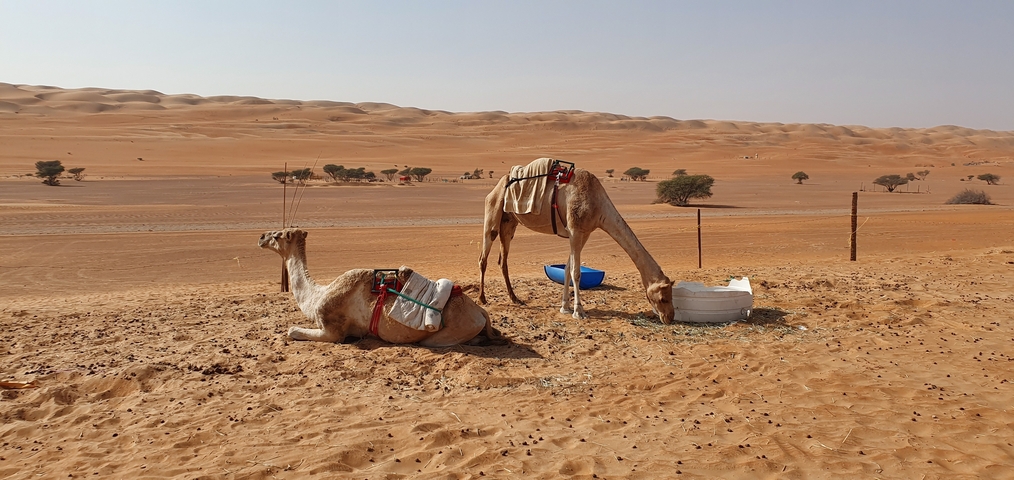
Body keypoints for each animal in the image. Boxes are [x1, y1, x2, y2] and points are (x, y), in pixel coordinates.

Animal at [259, 228, 498, 346]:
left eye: (278, 235)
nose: (261, 236)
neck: (318, 295)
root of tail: (480, 311)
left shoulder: (332, 330)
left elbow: (292, 330)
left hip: (444, 334)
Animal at [479, 159, 676, 323]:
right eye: (664, 297)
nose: (670, 317)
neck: (598, 206)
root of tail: (497, 186)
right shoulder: (575, 231)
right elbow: (576, 273)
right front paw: (578, 311)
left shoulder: (582, 233)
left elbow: (567, 269)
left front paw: (565, 307)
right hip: (493, 210)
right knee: (484, 255)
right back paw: (483, 298)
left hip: (509, 222)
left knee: (503, 259)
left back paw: (515, 298)